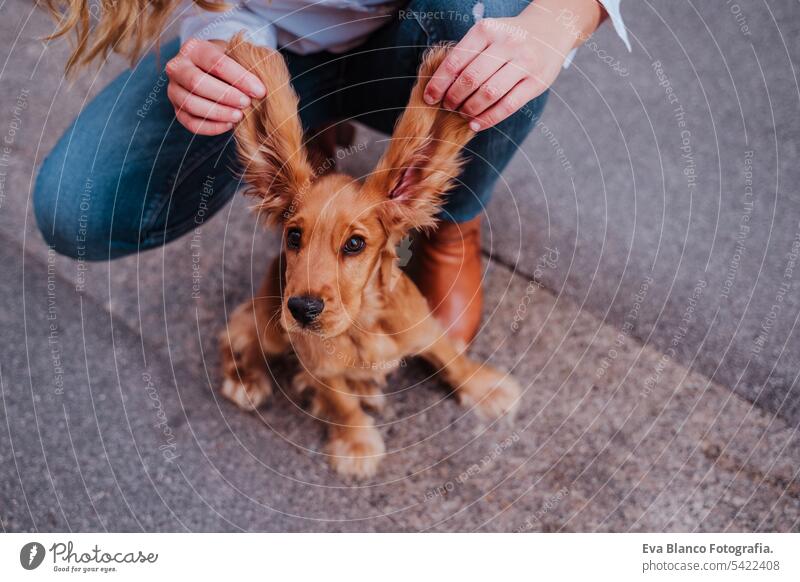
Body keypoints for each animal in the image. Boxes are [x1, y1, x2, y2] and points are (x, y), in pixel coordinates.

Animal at [219, 34, 520, 480]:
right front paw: (357, 444)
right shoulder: (319, 367)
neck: (361, 324)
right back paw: (247, 379)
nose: (302, 309)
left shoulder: (425, 328)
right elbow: (341, 404)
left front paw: (484, 387)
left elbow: (452, 359)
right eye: (294, 236)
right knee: (238, 335)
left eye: (355, 244)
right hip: (269, 322)